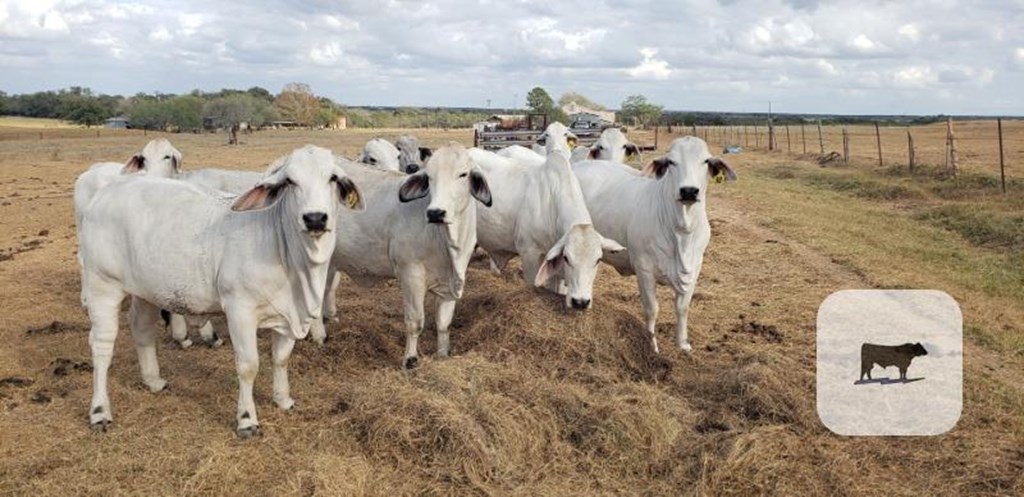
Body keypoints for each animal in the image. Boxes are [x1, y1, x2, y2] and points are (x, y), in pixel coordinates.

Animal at [77, 145, 364, 436]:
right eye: (290, 181)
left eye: (332, 178)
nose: (315, 218)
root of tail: (107, 191)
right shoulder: (240, 311)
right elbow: (249, 366)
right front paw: (247, 419)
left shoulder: (287, 315)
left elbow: (281, 359)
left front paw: (283, 399)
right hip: (102, 284)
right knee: (101, 345)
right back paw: (99, 411)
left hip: (145, 289)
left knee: (141, 327)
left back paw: (153, 380)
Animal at [313, 141, 489, 366]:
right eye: (429, 177)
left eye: (463, 174)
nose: (436, 213)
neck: (447, 241)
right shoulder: (410, 273)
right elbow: (415, 321)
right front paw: (410, 359)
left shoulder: (451, 282)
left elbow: (444, 323)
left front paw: (443, 355)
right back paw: (318, 336)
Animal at [577, 136, 737, 352]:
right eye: (671, 162)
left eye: (705, 161)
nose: (688, 191)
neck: (681, 231)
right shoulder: (644, 269)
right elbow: (652, 309)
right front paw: (651, 345)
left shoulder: (695, 268)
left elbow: (683, 307)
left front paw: (683, 343)